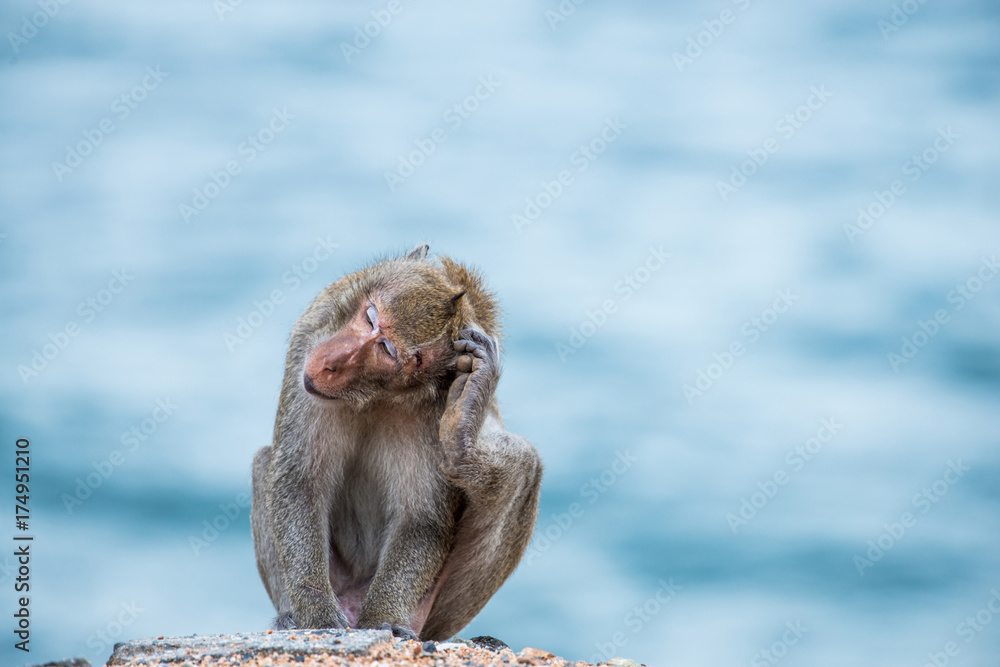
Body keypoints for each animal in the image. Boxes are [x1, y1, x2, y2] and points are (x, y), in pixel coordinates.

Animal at [250, 244, 543, 641]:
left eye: (387, 349)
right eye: (370, 317)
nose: (331, 363)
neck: (374, 395)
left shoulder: (435, 409)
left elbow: (420, 518)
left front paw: (382, 617)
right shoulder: (308, 338)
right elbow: (299, 482)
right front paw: (316, 611)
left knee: (525, 464)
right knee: (265, 462)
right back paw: (290, 617)